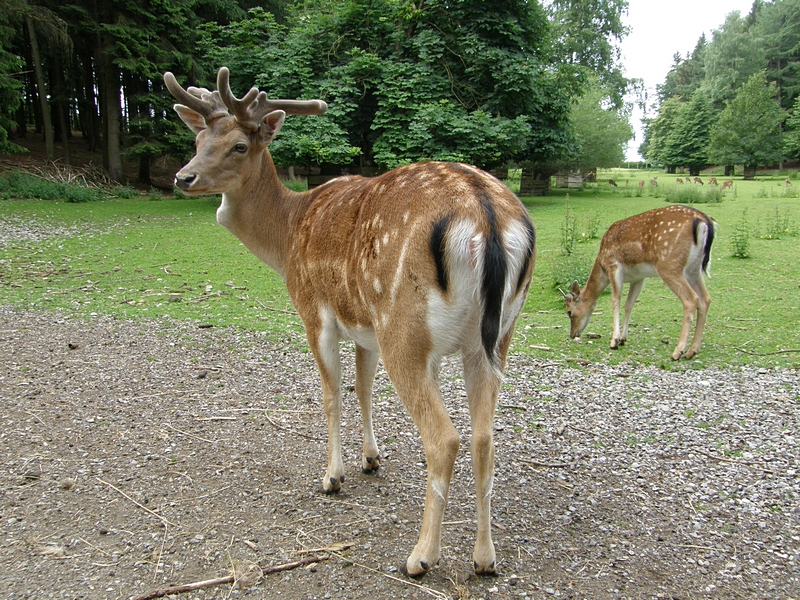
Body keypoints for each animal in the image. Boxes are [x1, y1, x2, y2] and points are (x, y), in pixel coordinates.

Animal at [164, 67, 536, 576]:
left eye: (240, 145)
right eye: (199, 137)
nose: (184, 177)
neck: (287, 236)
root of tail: (487, 217)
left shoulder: (314, 311)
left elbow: (331, 394)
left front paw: (332, 476)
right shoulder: (367, 329)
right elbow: (363, 389)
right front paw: (371, 459)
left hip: (405, 327)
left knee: (444, 438)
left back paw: (420, 556)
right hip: (494, 337)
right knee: (484, 437)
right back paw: (484, 558)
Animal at [564, 204, 720, 360]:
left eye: (569, 312)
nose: (572, 334)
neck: (601, 265)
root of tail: (705, 221)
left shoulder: (613, 266)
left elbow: (615, 300)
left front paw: (614, 341)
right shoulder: (639, 277)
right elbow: (629, 304)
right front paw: (623, 339)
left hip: (669, 265)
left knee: (691, 299)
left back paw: (678, 352)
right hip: (694, 269)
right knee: (705, 299)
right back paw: (692, 351)